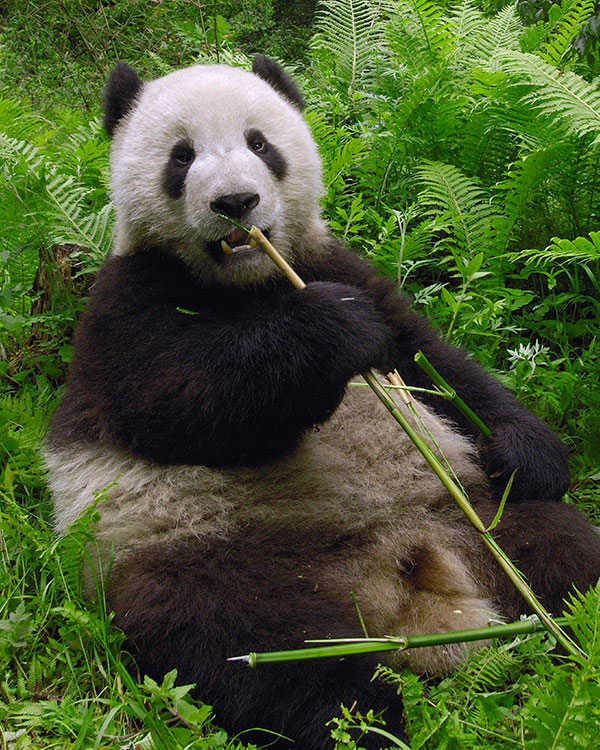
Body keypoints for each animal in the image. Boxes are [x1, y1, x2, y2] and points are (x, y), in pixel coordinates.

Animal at [48, 58, 600, 750]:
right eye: (181, 156)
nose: (236, 203)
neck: (251, 281)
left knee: (561, 550)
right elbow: (178, 400)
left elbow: (438, 368)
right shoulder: (123, 307)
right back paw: (366, 721)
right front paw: (332, 330)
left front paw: (527, 453)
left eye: (260, 144)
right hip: (204, 556)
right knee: (253, 646)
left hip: (473, 515)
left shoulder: (337, 264)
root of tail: (406, 578)